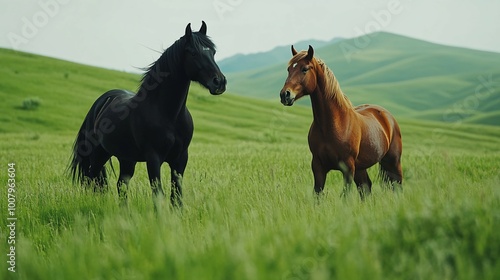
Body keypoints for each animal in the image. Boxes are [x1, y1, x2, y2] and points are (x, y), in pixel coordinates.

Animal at [68, 21, 227, 208]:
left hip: (126, 159)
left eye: (213, 52)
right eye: (193, 52)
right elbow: (158, 194)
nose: (219, 82)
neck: (168, 114)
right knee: (93, 180)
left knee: (121, 184)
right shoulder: (154, 158)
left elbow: (176, 194)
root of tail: (102, 101)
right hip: (99, 154)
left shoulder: (180, 158)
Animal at [280, 45, 404, 199]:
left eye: (305, 69)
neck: (332, 125)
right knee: (366, 187)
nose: (285, 95)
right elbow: (318, 194)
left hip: (393, 162)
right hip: (361, 168)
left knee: (397, 186)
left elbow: (346, 196)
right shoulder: (318, 166)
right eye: (289, 69)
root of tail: (388, 117)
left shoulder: (348, 168)